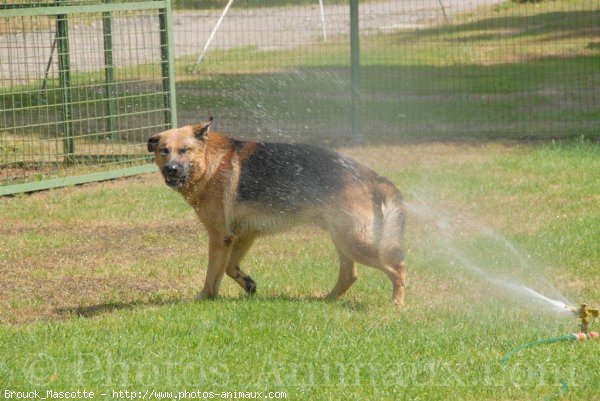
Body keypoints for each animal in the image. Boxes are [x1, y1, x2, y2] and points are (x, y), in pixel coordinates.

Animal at [148, 117, 408, 304]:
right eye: (164, 150)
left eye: (184, 150)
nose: (171, 170)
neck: (208, 162)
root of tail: (370, 175)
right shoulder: (244, 235)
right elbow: (231, 268)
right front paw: (248, 284)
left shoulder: (219, 237)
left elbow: (213, 274)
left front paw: (203, 298)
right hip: (344, 240)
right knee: (350, 276)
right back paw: (325, 299)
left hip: (354, 241)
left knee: (397, 266)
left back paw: (396, 303)